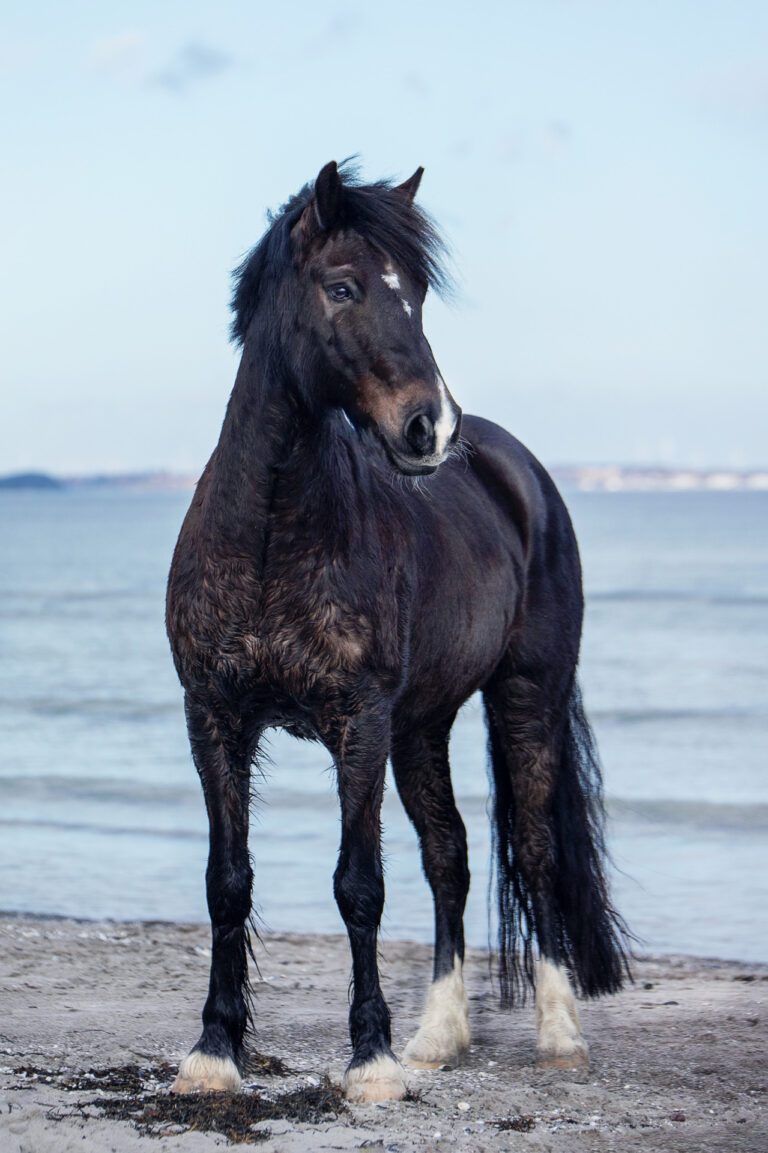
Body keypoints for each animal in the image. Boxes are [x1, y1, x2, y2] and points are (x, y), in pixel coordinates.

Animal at [165, 160, 629, 1103]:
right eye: (342, 287)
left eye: (414, 295)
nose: (431, 428)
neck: (269, 533)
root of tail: (519, 472)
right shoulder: (214, 717)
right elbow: (227, 881)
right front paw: (214, 1050)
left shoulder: (360, 722)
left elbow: (360, 886)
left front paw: (369, 1059)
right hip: (424, 724)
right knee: (451, 853)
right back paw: (439, 1035)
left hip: (525, 695)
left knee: (536, 851)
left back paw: (558, 1032)